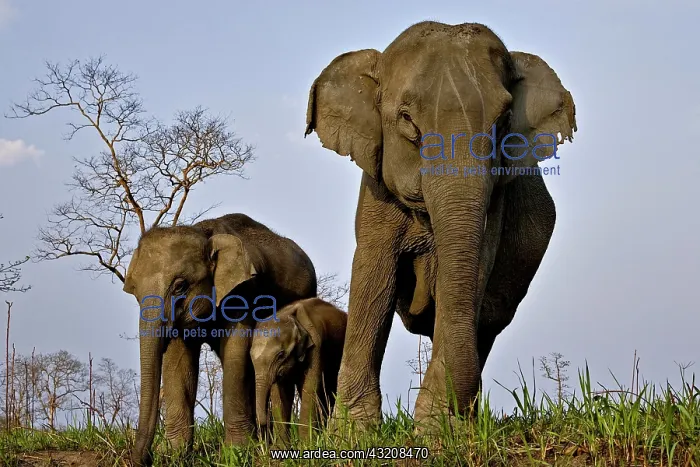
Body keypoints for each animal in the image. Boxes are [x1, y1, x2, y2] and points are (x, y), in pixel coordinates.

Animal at [122, 213, 317, 466]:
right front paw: (176, 454)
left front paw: (237, 452)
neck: (203, 234)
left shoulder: (242, 293)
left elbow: (236, 352)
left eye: (180, 286)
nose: (143, 459)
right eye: (135, 293)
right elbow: (178, 361)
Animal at [250, 297, 347, 444]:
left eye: (280, 355)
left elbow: (310, 386)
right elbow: (280, 392)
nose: (263, 436)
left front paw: (306, 444)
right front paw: (281, 447)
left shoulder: (317, 345)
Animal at [304, 21, 577, 428]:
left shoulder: (496, 202)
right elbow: (373, 275)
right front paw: (353, 432)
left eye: (503, 122)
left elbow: (473, 274)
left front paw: (434, 428)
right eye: (406, 119)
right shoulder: (376, 190)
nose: (450, 412)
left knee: (486, 323)